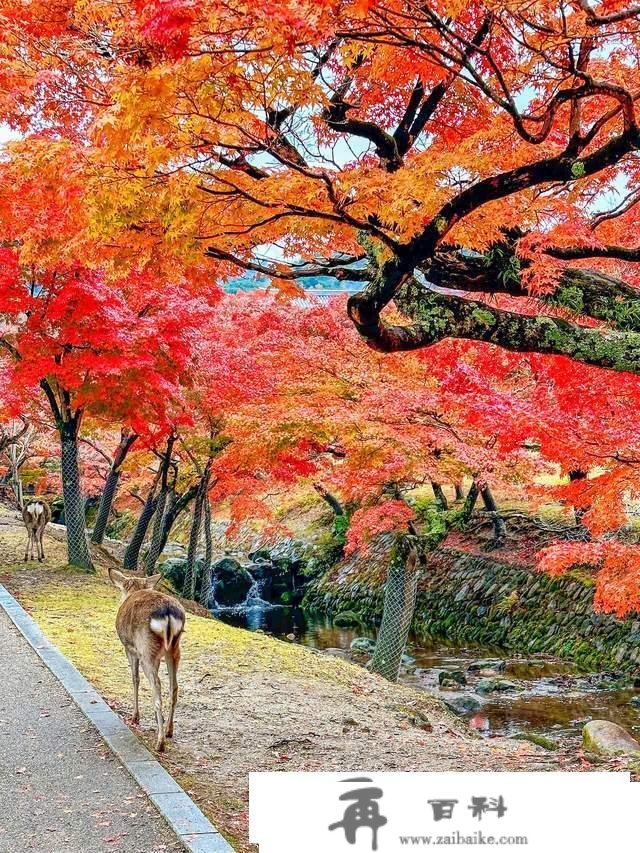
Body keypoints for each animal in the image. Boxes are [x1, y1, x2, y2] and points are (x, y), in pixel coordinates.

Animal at [109, 568, 185, 748]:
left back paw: (160, 742)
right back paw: (168, 730)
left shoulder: (130, 648)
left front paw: (135, 717)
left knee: (157, 686)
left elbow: (135, 678)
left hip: (146, 650)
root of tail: (168, 613)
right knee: (174, 686)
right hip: (173, 649)